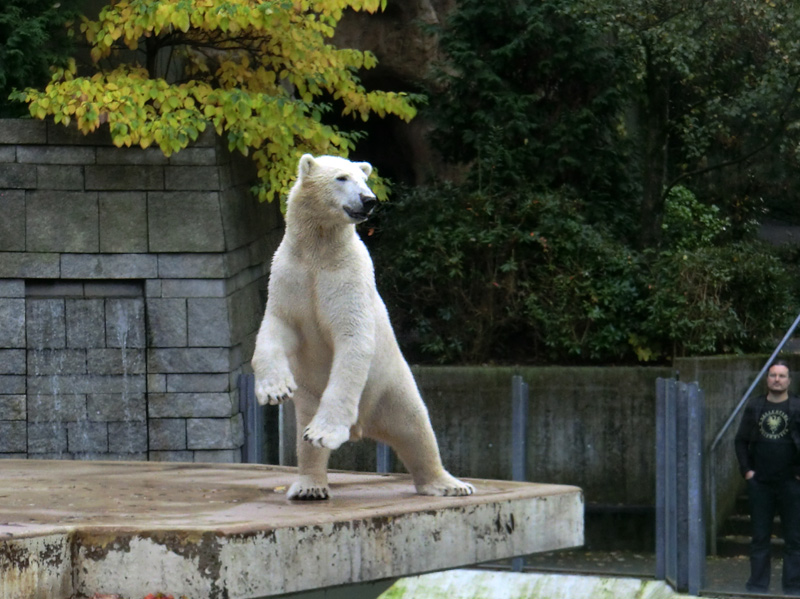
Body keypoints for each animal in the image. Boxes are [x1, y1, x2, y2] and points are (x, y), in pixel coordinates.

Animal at [252, 155, 476, 502]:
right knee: (303, 437)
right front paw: (275, 390)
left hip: (391, 386)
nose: (369, 200)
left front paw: (326, 432)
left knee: (416, 427)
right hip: (311, 398)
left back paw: (448, 484)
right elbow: (277, 328)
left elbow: (352, 340)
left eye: (364, 179)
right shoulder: (289, 276)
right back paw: (309, 486)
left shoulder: (350, 276)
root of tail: (363, 427)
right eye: (342, 178)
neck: (318, 249)